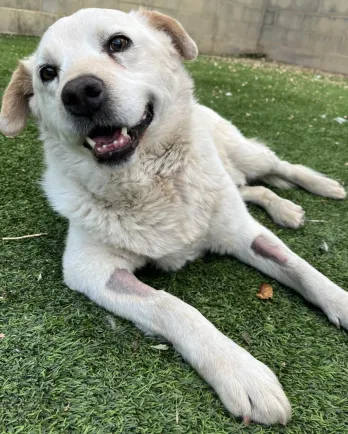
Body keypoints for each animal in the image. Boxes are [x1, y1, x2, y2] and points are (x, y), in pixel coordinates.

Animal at [1, 8, 346, 426]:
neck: (151, 184)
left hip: (246, 155)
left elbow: (301, 268)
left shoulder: (243, 232)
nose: (79, 92)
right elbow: (171, 306)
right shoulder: (91, 269)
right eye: (48, 73)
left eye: (118, 43)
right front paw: (240, 370)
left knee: (279, 167)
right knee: (254, 188)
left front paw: (341, 301)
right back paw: (285, 208)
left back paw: (323, 186)